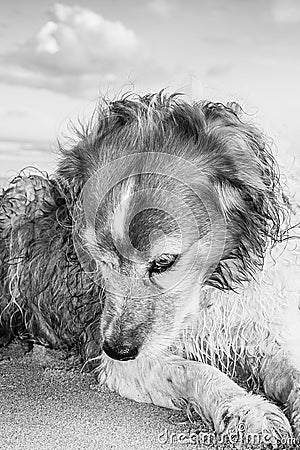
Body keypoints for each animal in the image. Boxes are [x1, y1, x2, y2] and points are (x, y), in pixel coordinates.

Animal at [0, 91, 300, 442]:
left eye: (163, 262)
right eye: (100, 257)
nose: (117, 349)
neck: (206, 288)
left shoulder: (254, 331)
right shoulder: (125, 365)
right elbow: (194, 371)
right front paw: (247, 410)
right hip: (23, 195)